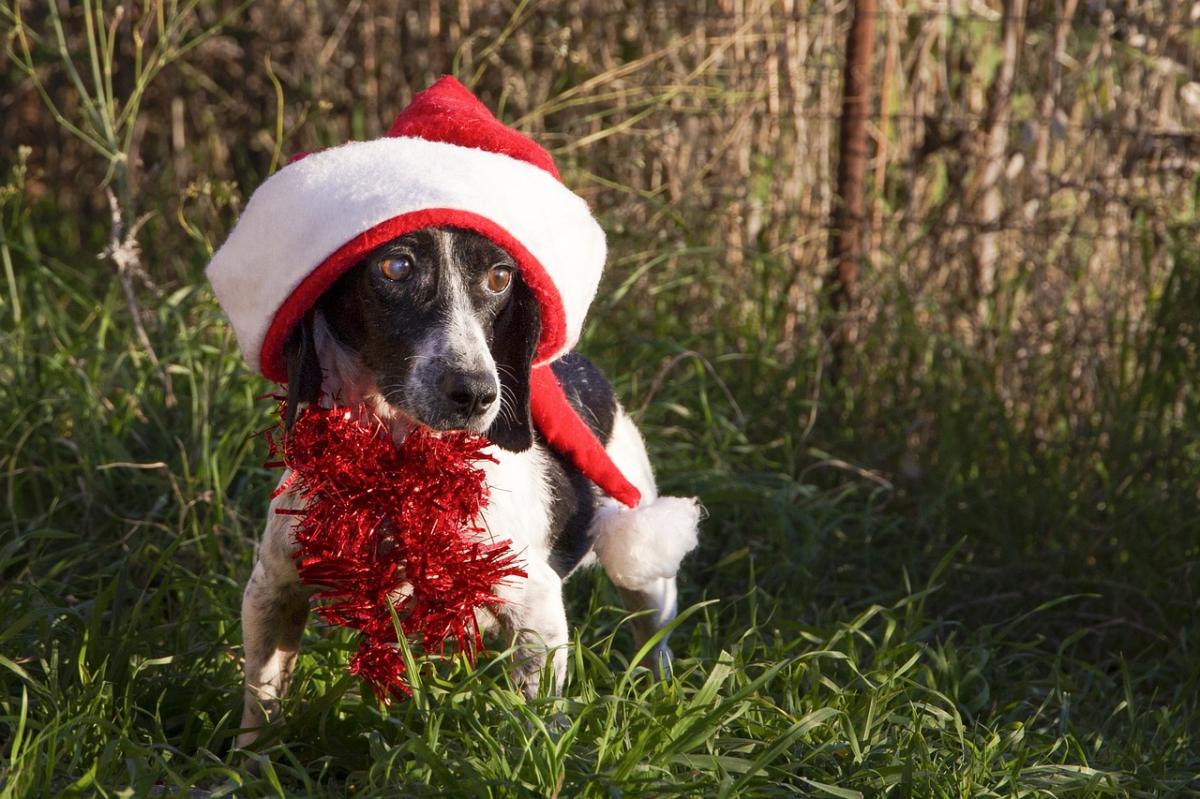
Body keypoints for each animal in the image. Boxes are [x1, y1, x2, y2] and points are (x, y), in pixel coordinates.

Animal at [237, 224, 700, 748]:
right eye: (395, 266)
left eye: (500, 277)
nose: (477, 393)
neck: (395, 475)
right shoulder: (272, 590)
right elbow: (260, 705)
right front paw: (246, 761)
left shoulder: (536, 608)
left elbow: (537, 723)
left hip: (646, 571)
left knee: (655, 641)